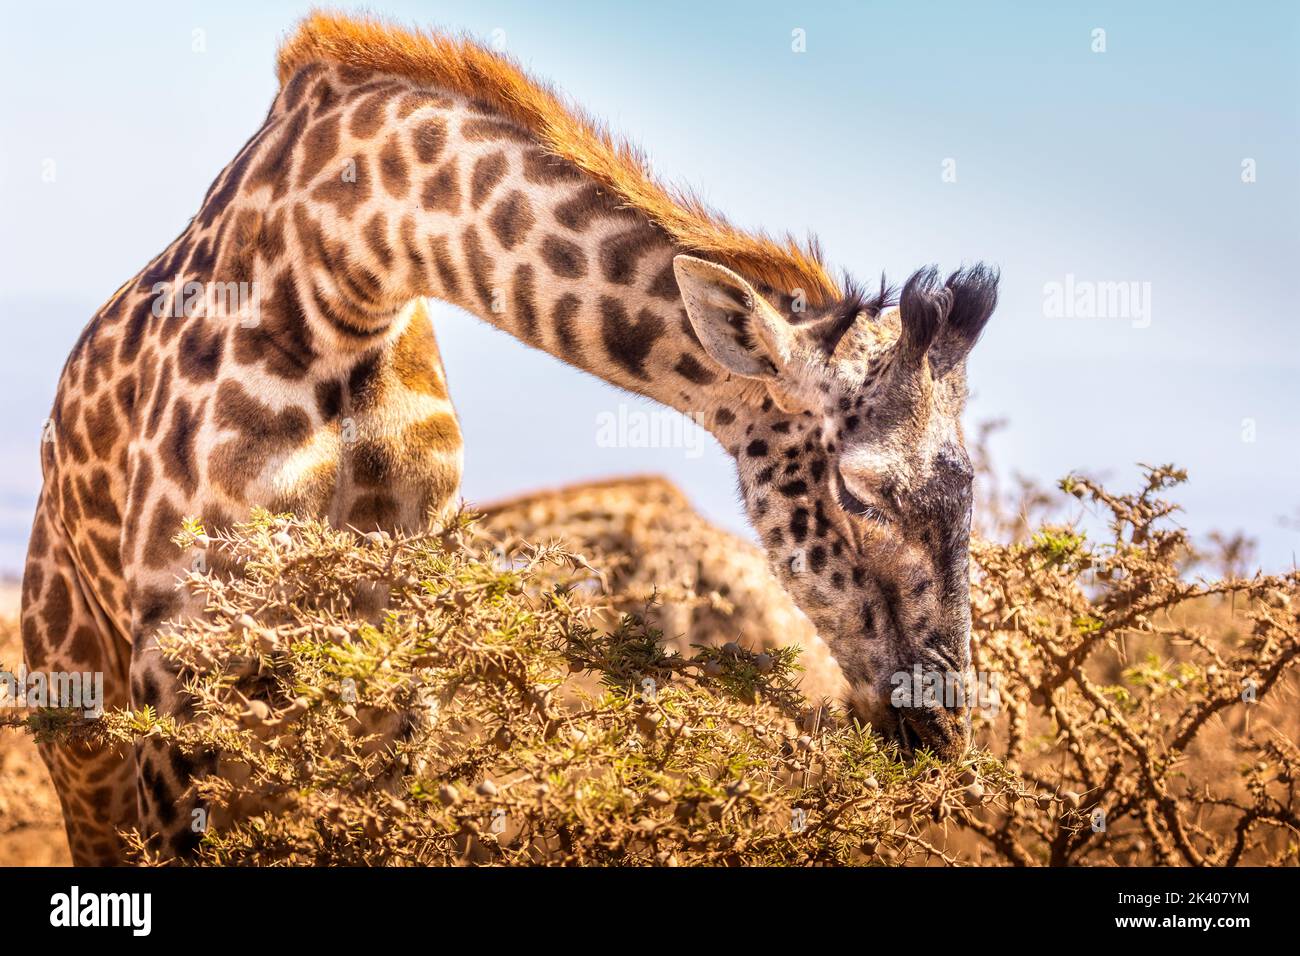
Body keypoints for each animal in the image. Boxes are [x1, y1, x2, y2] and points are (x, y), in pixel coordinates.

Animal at [21, 12, 997, 864]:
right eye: (860, 491)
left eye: (972, 489)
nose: (944, 732)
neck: (345, 278)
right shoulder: (178, 662)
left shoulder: (405, 652)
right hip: (81, 719)